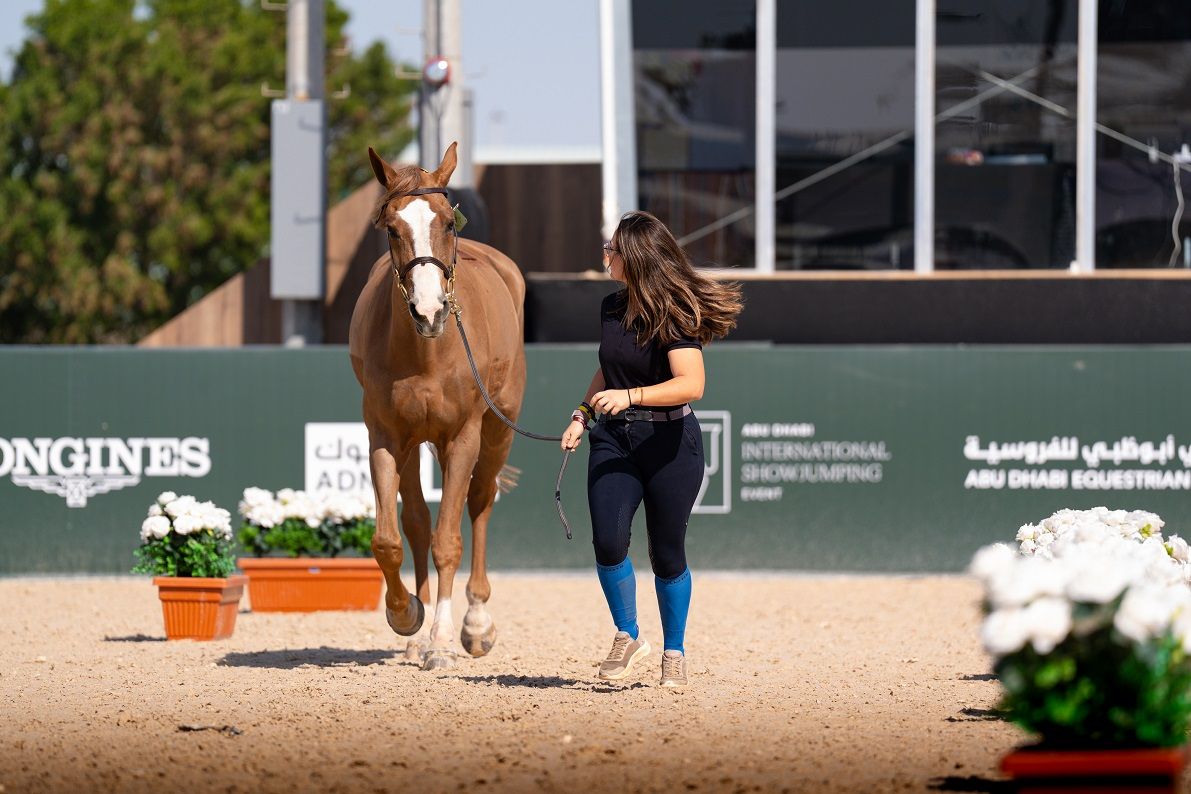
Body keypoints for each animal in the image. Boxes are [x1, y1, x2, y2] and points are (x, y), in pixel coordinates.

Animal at [347, 142, 526, 671]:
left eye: (448, 222)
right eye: (392, 228)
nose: (430, 312)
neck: (427, 353)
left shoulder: (464, 437)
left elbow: (450, 541)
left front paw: (444, 639)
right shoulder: (385, 439)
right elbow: (390, 539)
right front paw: (407, 615)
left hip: (496, 433)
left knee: (480, 501)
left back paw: (476, 623)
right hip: (416, 446)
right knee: (418, 524)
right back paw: (416, 634)